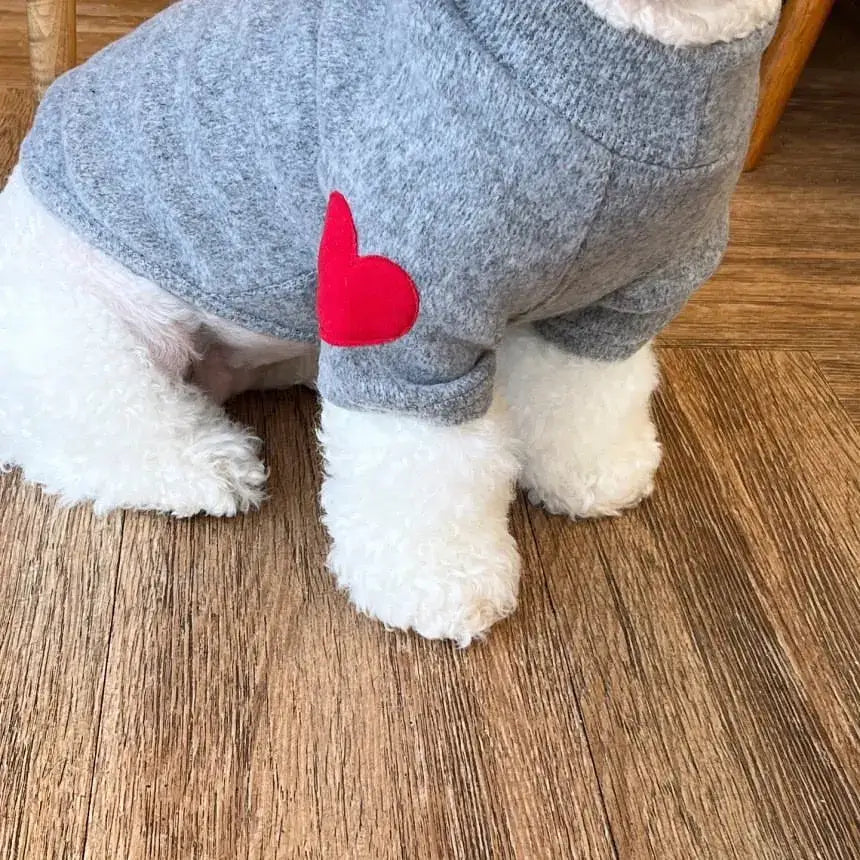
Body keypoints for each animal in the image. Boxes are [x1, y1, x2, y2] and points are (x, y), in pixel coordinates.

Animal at [0, 1, 780, 644]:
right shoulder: (405, 321)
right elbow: (423, 469)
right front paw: (440, 580)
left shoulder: (622, 300)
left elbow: (585, 396)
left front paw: (591, 472)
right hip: (82, 330)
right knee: (82, 425)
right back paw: (203, 465)